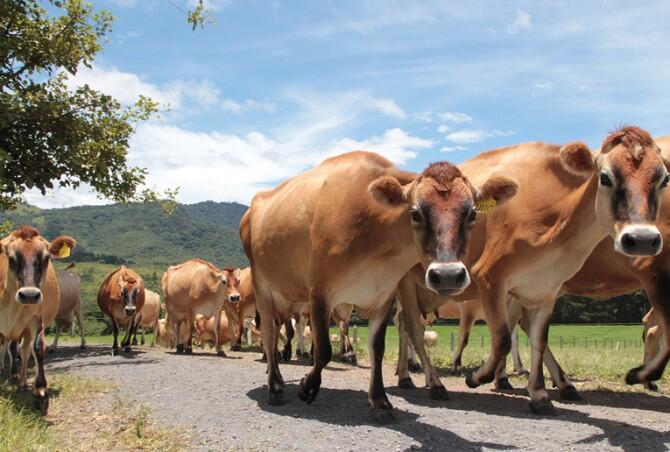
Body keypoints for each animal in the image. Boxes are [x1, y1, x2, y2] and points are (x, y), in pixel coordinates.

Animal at [0, 226, 75, 414]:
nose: (29, 294)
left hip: (24, 330)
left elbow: (38, 348)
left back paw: (21, 381)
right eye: (11, 258)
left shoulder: (36, 319)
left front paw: (40, 392)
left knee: (23, 350)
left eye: (46, 258)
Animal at [242, 149, 520, 420]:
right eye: (415, 213)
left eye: (472, 213)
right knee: (269, 333)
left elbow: (377, 348)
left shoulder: (383, 295)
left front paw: (379, 401)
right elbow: (323, 350)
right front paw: (306, 387)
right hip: (262, 285)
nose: (448, 275)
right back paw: (275, 386)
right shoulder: (319, 292)